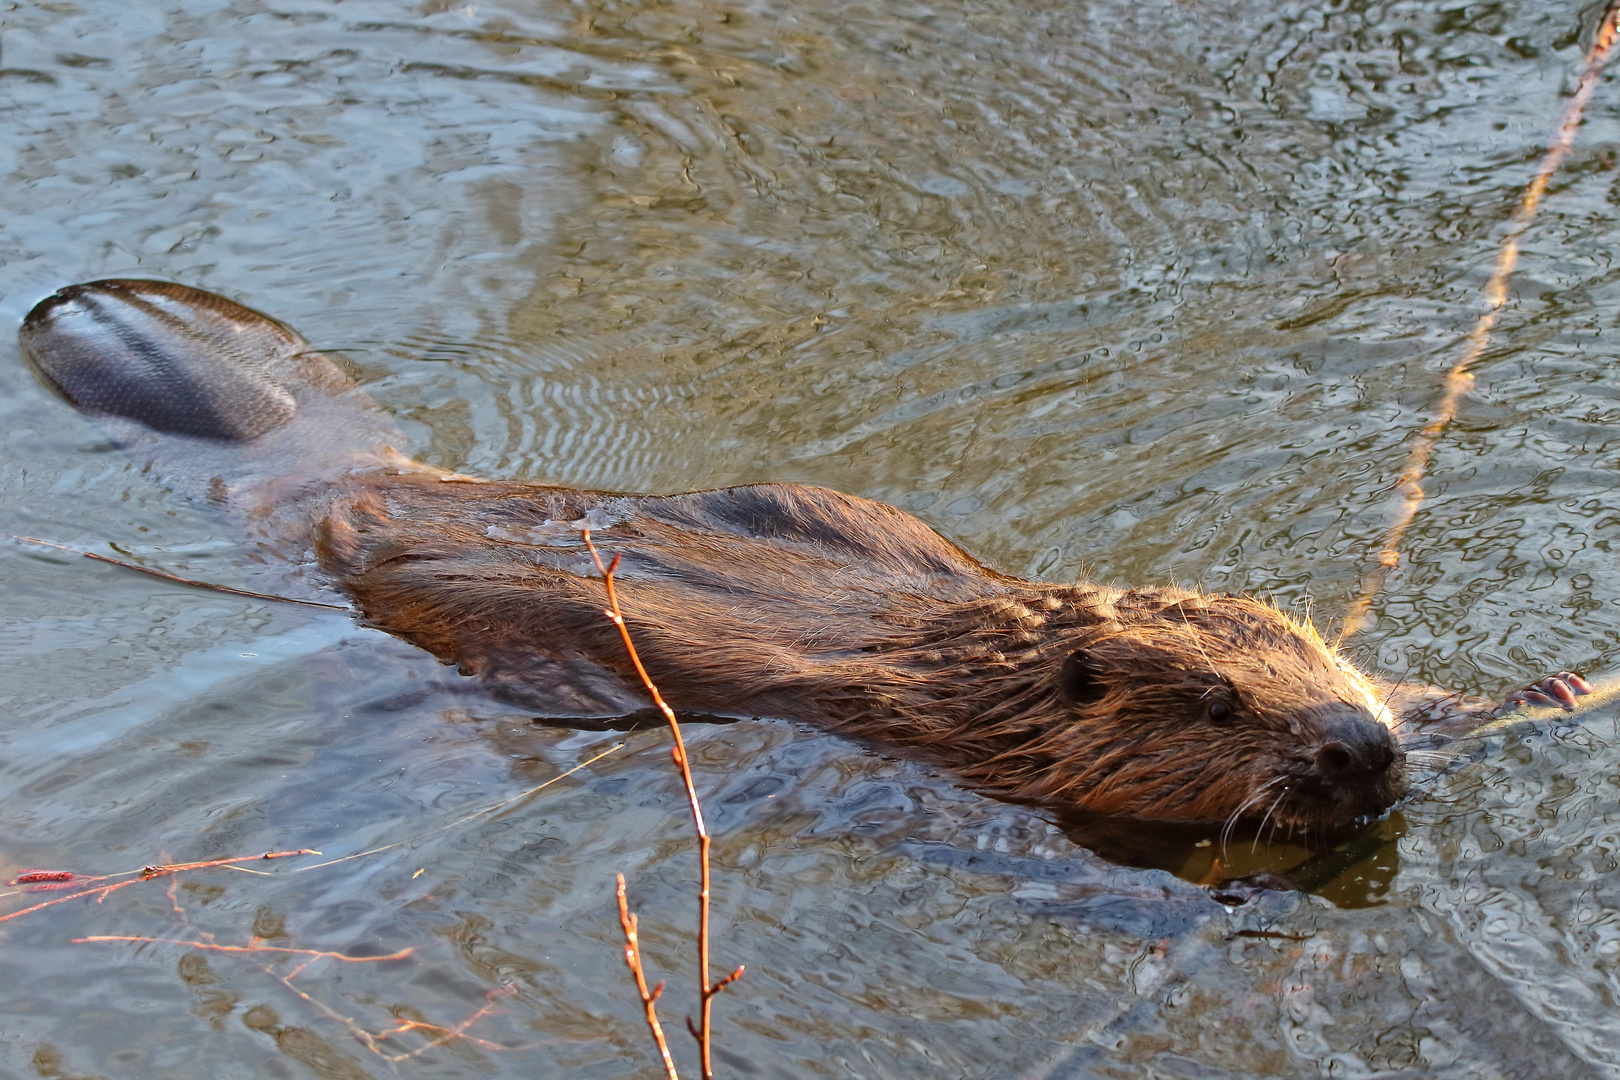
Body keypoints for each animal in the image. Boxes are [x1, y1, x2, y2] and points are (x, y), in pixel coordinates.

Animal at [15, 281, 1594, 835]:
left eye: (1317, 656)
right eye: (1214, 707)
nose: (1352, 745)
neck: (991, 672)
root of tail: (346, 484)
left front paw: (1526, 697)